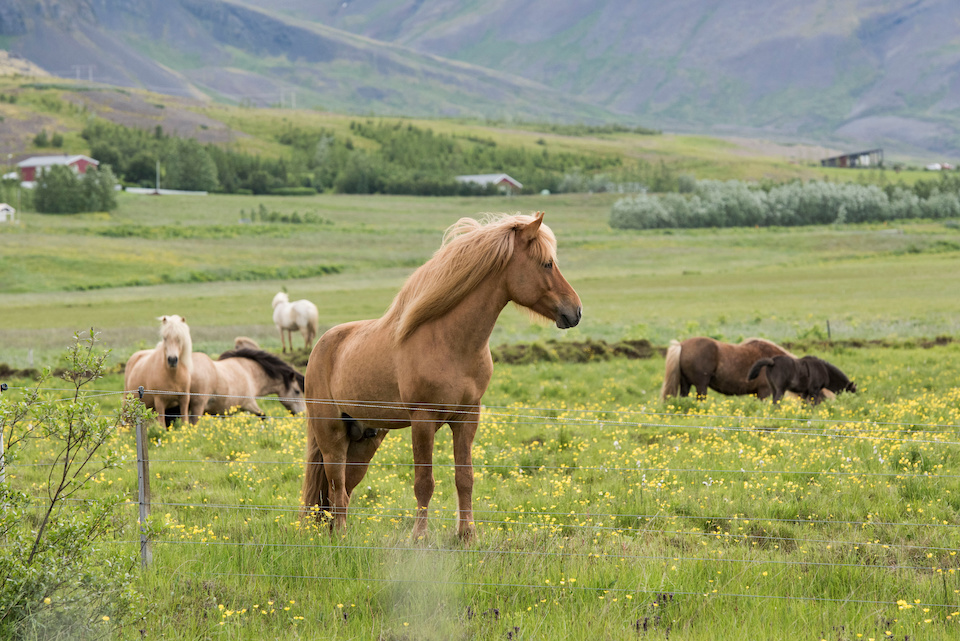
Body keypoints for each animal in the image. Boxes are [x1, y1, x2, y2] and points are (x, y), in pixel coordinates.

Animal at [304, 211, 580, 540]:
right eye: (547, 263)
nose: (575, 311)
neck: (450, 343)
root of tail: (320, 346)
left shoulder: (467, 417)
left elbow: (465, 478)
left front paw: (467, 536)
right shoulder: (423, 420)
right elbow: (424, 482)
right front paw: (419, 538)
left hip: (363, 440)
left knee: (343, 488)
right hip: (331, 433)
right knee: (336, 486)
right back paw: (342, 537)